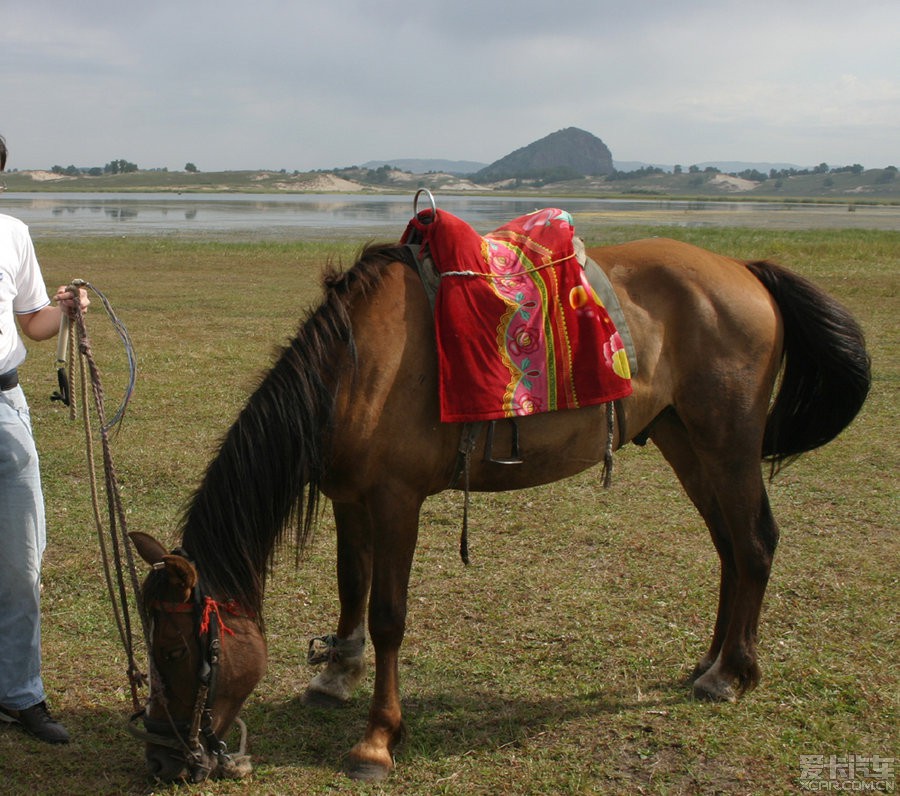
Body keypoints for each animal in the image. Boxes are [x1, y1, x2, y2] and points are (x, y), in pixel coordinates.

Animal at [130, 233, 868, 780]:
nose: (165, 761)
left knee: (755, 544)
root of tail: (745, 271)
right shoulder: (350, 497)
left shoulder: (396, 499)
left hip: (728, 442)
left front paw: (376, 740)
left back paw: (732, 676)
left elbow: (389, 615)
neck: (356, 368)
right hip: (684, 438)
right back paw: (708, 664)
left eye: (178, 650)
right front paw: (335, 676)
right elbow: (350, 587)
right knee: (728, 549)